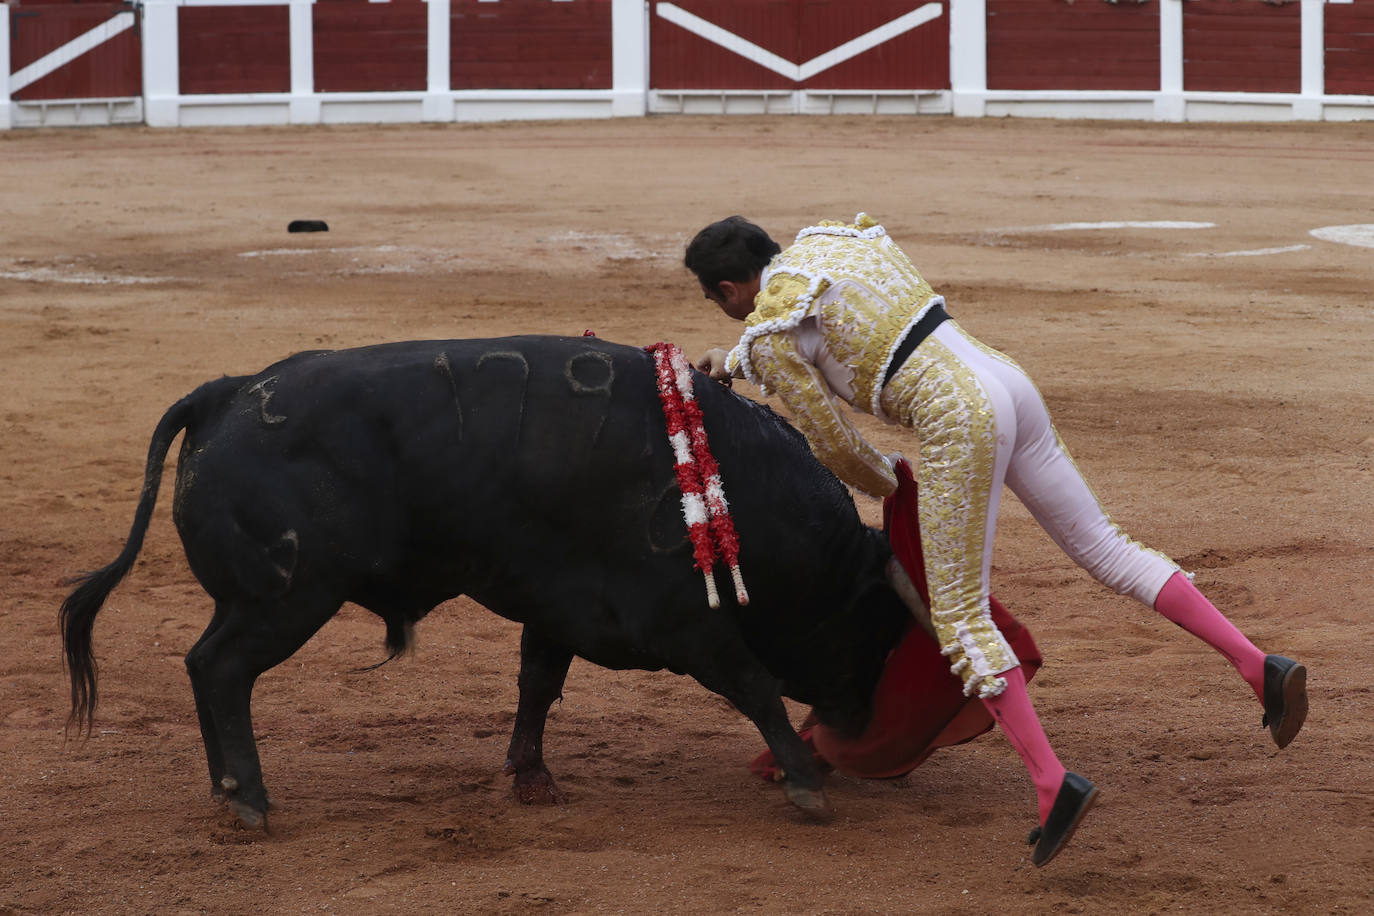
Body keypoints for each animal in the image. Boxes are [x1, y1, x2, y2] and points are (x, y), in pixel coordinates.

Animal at [64, 336, 923, 829]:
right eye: (873, 632)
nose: (856, 722)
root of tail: (231, 390)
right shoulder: (684, 621)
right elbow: (754, 684)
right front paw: (805, 781)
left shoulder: (560, 606)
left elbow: (537, 684)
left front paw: (531, 778)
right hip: (285, 598)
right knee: (220, 668)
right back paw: (247, 796)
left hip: (259, 601)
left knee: (203, 666)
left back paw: (226, 788)